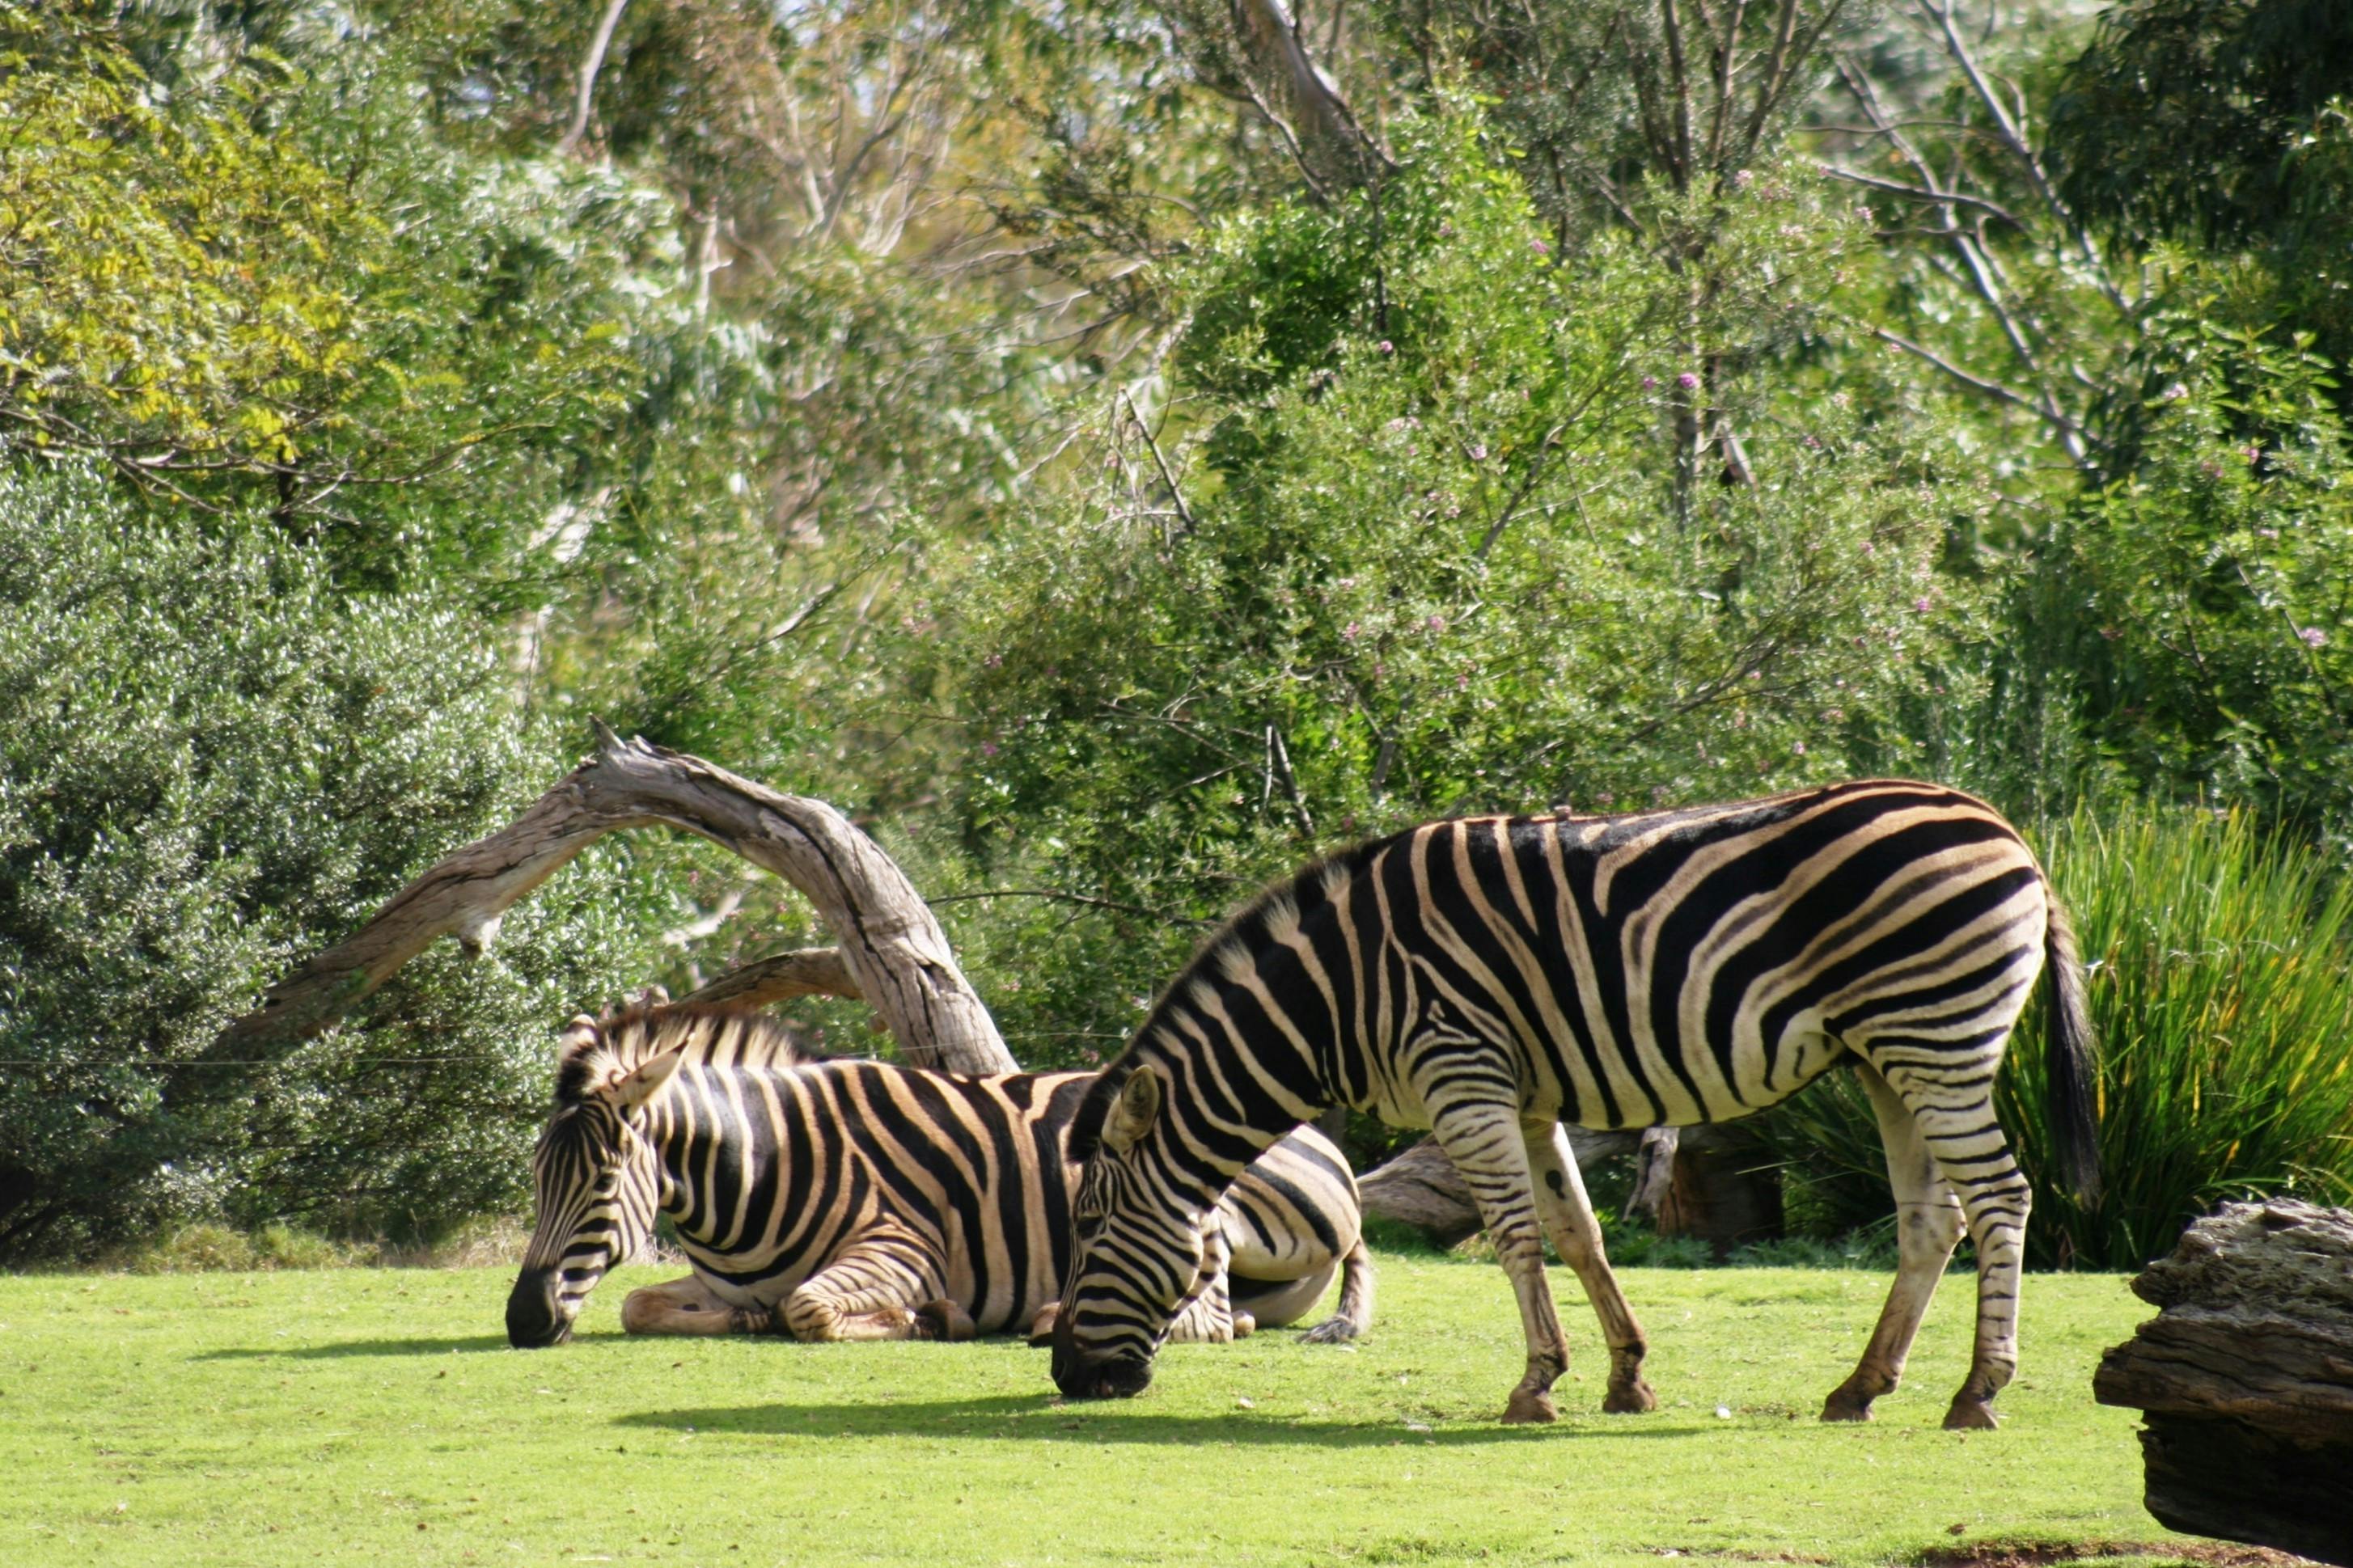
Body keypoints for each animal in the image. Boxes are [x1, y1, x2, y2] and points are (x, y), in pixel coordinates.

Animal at [504, 1002, 1374, 1350]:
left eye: (601, 1183)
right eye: (537, 1176)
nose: (519, 1321)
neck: (758, 1168)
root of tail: (1317, 1137)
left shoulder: (902, 1247)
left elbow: (809, 1308)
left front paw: (931, 1318)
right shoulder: (715, 1279)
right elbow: (641, 1306)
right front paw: (744, 1319)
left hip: (1202, 1196)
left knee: (1216, 1314)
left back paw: (1048, 1317)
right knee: (1234, 1314)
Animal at [1051, 779, 2099, 1431]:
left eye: (1090, 1226)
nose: (1067, 1375)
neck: (1340, 993)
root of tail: (2004, 827)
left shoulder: (1460, 1071)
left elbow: (1514, 1234)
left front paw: (1533, 1385)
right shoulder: (1520, 1092)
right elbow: (1576, 1228)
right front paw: (1625, 1374)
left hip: (1936, 1034)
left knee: (1999, 1198)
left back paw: (1976, 1391)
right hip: (1890, 1055)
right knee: (1932, 1218)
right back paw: (1860, 1386)